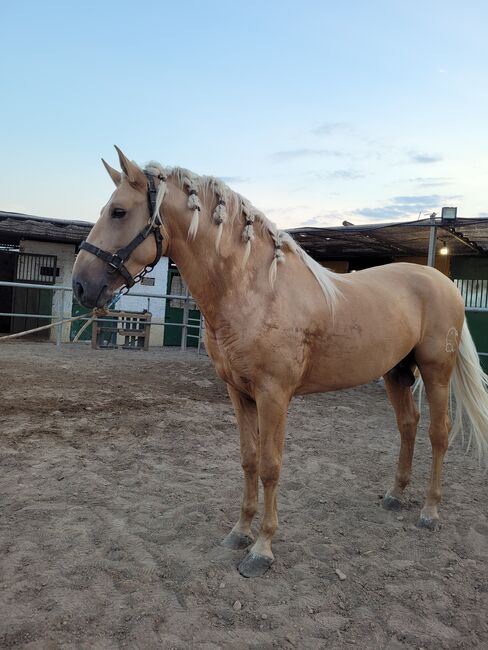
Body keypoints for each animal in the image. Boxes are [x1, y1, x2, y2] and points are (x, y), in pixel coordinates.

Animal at [72, 146, 488, 578]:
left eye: (119, 211)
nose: (81, 286)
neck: (256, 289)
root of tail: (442, 282)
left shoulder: (274, 396)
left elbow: (271, 466)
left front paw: (262, 549)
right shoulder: (239, 393)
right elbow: (249, 461)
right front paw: (240, 532)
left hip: (436, 373)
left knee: (439, 433)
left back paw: (429, 512)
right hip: (396, 373)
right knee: (408, 425)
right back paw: (394, 495)